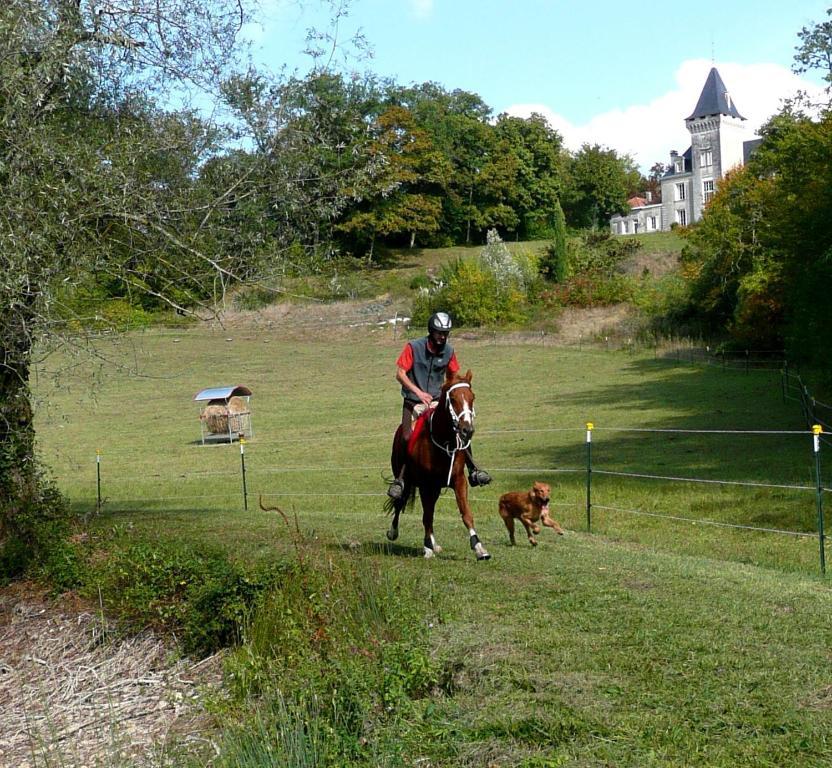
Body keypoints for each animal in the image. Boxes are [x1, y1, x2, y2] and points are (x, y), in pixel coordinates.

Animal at [386, 368, 490, 560]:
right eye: (453, 399)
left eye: (472, 397)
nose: (467, 430)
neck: (444, 440)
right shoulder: (425, 485)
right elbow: (426, 516)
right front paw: (427, 548)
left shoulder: (458, 480)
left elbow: (466, 513)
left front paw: (479, 547)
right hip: (407, 481)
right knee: (400, 502)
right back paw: (393, 532)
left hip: (434, 489)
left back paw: (434, 543)